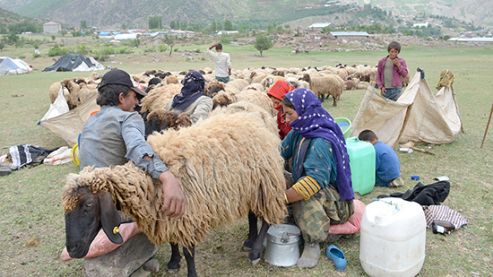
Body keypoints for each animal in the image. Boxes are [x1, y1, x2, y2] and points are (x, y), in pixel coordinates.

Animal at [62, 109, 286, 276]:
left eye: (88, 205)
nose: (72, 250)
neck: (150, 181)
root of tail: (253, 119)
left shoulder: (188, 215)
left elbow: (189, 251)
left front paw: (190, 272)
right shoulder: (167, 215)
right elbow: (172, 242)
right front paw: (173, 262)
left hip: (267, 184)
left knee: (267, 219)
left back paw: (255, 251)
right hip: (249, 186)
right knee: (251, 214)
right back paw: (249, 241)